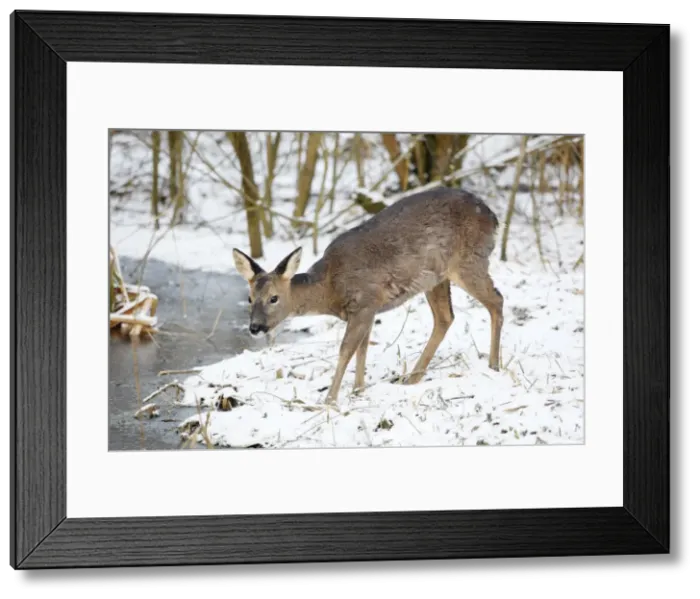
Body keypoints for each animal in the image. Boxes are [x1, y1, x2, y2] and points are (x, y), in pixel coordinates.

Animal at [232, 186, 504, 407]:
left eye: (274, 298)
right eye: (249, 298)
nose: (255, 327)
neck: (330, 288)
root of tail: (493, 217)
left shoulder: (365, 301)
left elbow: (346, 350)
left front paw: (329, 400)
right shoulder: (367, 309)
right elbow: (362, 348)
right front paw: (358, 390)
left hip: (468, 261)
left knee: (496, 300)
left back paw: (493, 365)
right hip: (436, 277)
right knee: (446, 317)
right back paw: (412, 378)